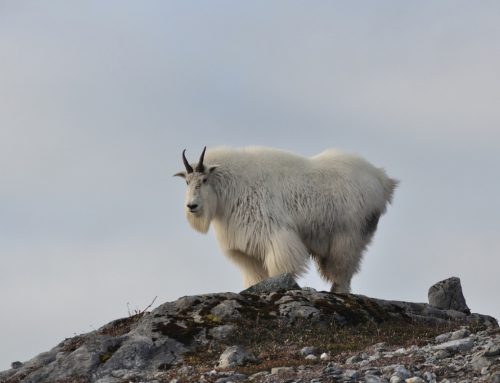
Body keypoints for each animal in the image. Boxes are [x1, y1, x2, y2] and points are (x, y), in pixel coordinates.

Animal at [174, 147, 396, 294]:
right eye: (187, 182)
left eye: (204, 180)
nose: (192, 206)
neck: (231, 186)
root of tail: (382, 180)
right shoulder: (246, 249)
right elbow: (255, 276)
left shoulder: (275, 234)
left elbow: (279, 267)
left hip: (349, 235)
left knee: (344, 268)